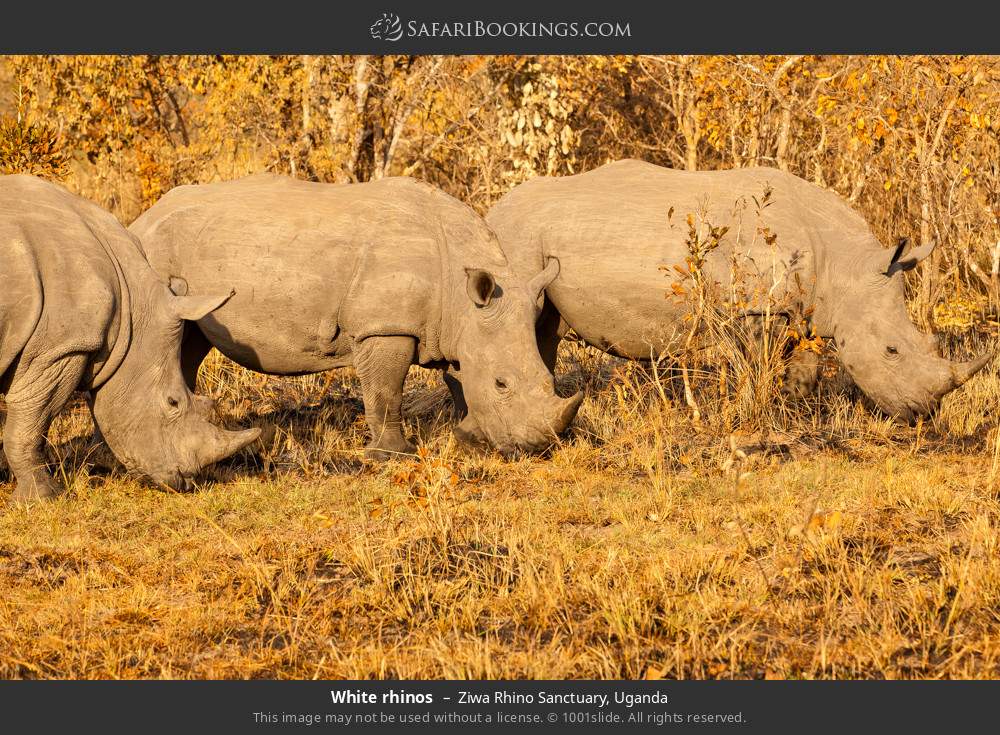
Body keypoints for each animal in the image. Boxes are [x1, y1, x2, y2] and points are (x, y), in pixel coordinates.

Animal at [0, 175, 258, 504]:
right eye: (172, 402)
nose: (187, 482)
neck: (132, 308)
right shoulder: (60, 349)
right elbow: (30, 424)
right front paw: (42, 499)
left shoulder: (52, 347)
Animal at [129, 175, 584, 458]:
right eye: (502, 384)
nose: (535, 448)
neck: (461, 293)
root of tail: (144, 217)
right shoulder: (384, 327)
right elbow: (386, 390)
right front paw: (391, 455)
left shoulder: (460, 323)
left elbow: (459, 379)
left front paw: (471, 436)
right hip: (154, 251)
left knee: (188, 343)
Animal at [484, 161, 992, 422]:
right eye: (891, 351)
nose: (924, 414)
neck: (845, 265)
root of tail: (492, 210)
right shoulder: (757, 308)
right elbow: (759, 363)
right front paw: (766, 412)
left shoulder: (803, 308)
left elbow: (803, 364)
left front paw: (799, 410)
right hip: (513, 238)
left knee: (542, 329)